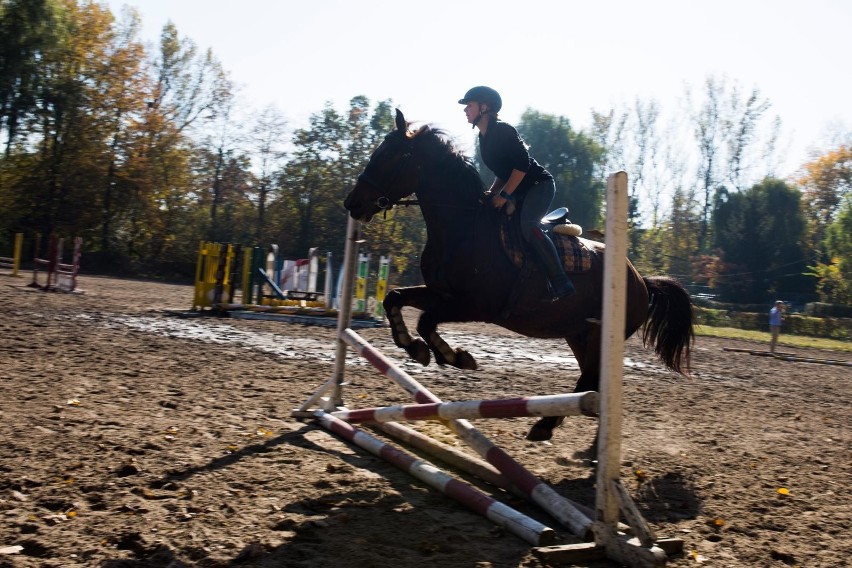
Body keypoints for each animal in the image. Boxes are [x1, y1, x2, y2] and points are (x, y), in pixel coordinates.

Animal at [342, 108, 696, 442]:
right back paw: (578, 440)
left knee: (592, 380)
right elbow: (394, 298)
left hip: (600, 336)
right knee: (593, 381)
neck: (462, 227)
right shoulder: (440, 292)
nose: (352, 204)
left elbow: (427, 321)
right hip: (579, 334)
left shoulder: (476, 305)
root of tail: (640, 280)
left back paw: (551, 428)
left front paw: (455, 356)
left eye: (391, 156)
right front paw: (414, 347)